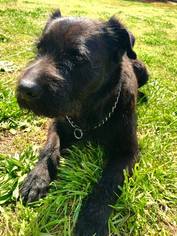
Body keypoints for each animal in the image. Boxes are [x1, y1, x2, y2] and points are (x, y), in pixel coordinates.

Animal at [16, 10, 148, 236]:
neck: (88, 115)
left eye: (77, 57)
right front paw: (36, 179)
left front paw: (92, 218)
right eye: (39, 48)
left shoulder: (128, 152)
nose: (25, 88)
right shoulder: (57, 124)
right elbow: (49, 149)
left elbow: (108, 181)